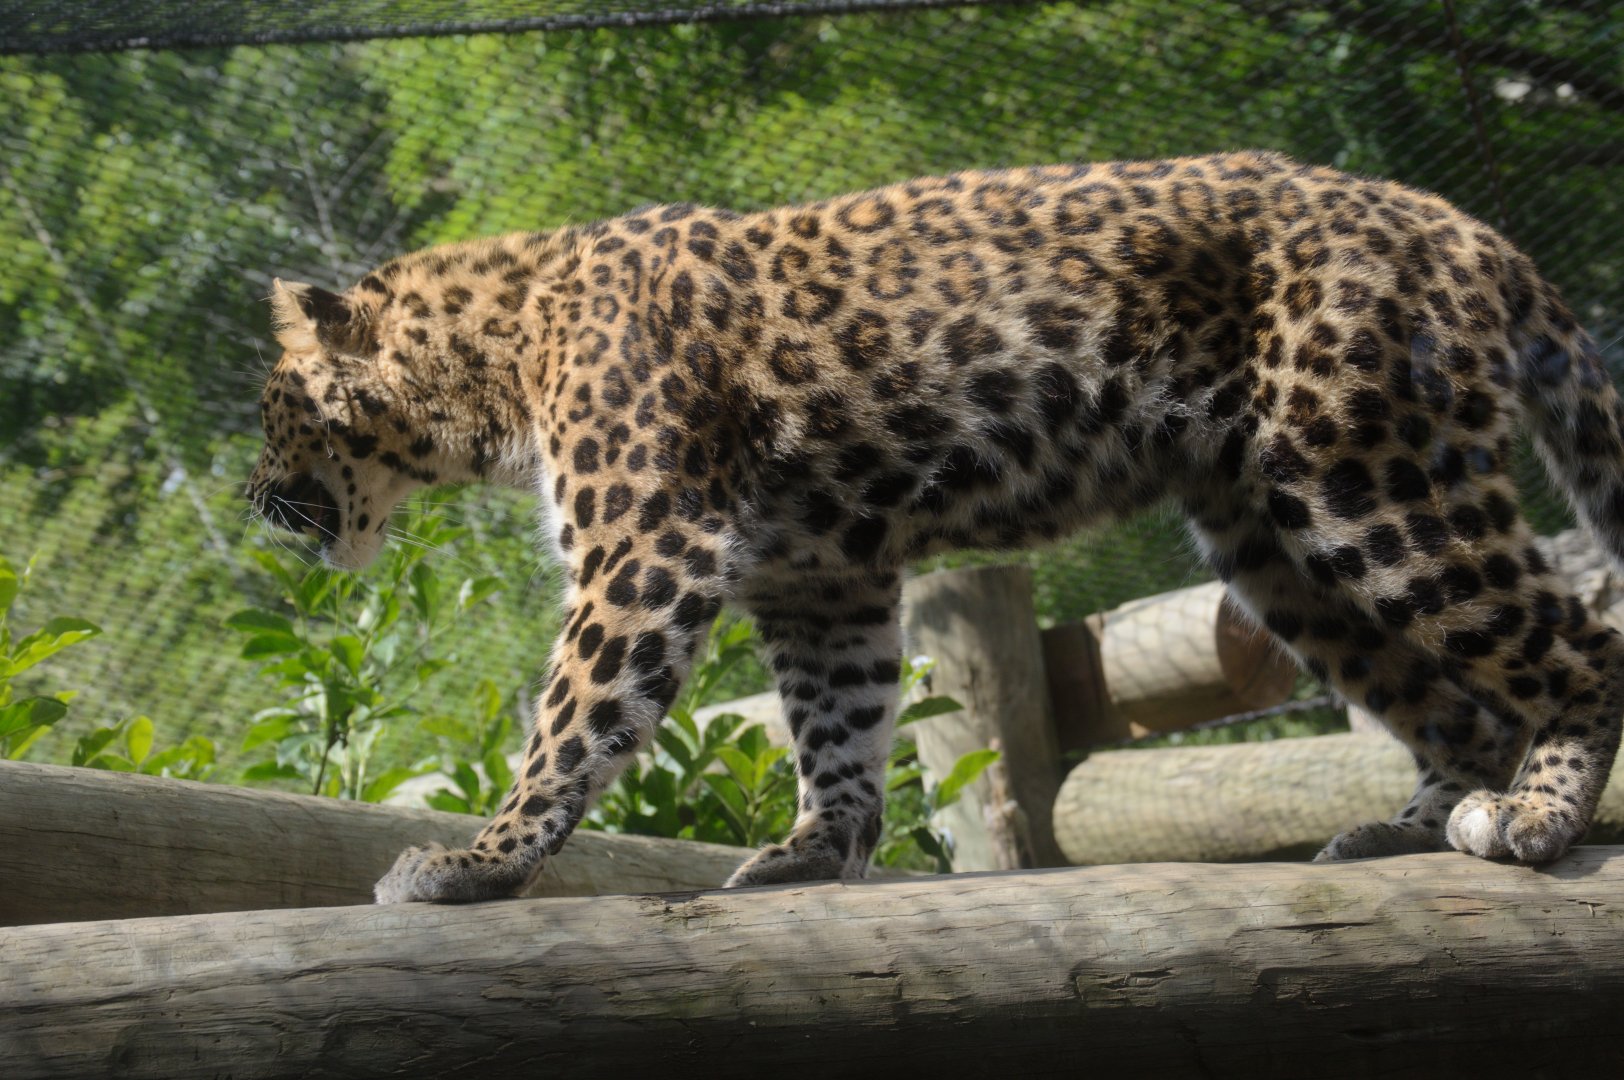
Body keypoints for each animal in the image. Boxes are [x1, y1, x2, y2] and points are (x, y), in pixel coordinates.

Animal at [246, 150, 1624, 904]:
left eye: (269, 410)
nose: (255, 498)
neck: (499, 355)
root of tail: (1459, 222)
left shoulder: (646, 549)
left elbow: (573, 719)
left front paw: (476, 862)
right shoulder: (821, 574)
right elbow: (838, 722)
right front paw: (812, 853)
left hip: (1367, 477)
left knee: (1575, 647)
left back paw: (1536, 818)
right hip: (1276, 537)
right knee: (1452, 702)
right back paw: (1402, 829)